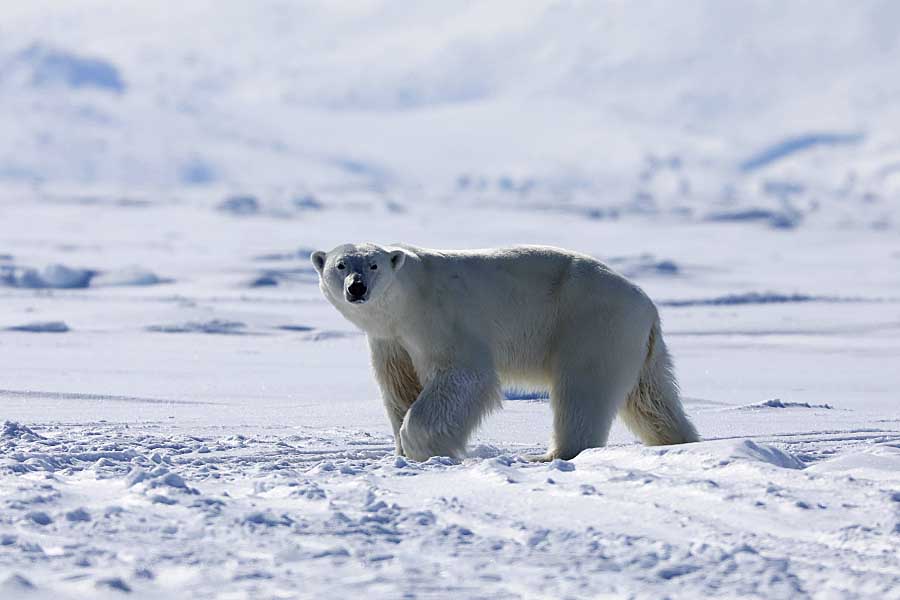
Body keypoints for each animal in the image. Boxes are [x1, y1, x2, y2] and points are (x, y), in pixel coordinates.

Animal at [312, 241, 700, 462]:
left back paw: (554, 454)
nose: (356, 288)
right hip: (636, 344)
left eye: (373, 264)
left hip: (591, 324)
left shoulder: (439, 318)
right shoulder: (390, 340)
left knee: (583, 390)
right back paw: (677, 439)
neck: (407, 296)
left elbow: (466, 376)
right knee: (650, 398)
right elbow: (399, 387)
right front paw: (400, 452)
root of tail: (648, 305)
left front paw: (422, 448)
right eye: (340, 265)